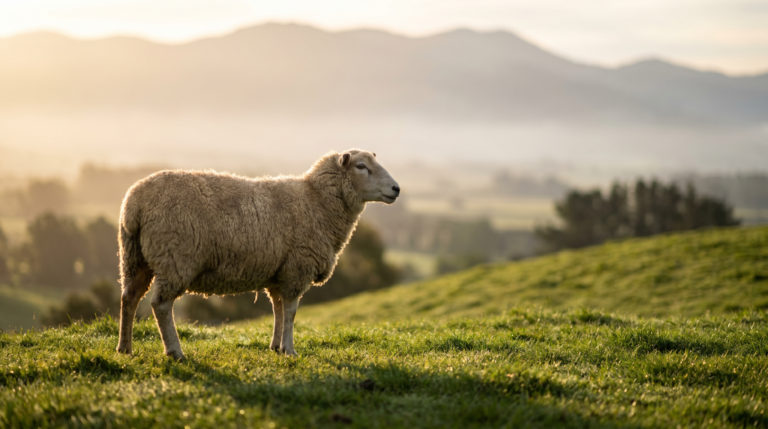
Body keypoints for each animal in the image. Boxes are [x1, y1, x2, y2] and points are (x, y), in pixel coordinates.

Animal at [115, 149, 400, 359]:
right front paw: (290, 350)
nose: (396, 189)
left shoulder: (279, 272)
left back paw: (125, 348)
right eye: (361, 166)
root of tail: (134, 205)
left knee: (129, 298)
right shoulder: (297, 268)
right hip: (175, 258)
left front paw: (276, 346)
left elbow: (278, 309)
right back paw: (175, 352)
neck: (317, 200)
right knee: (161, 305)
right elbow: (291, 311)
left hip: (134, 257)